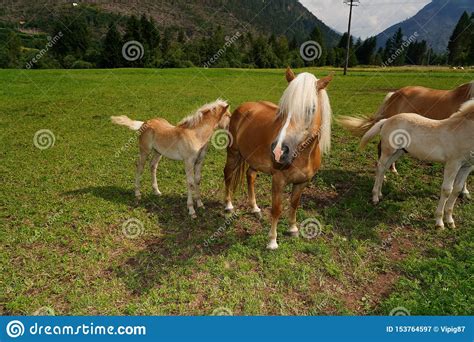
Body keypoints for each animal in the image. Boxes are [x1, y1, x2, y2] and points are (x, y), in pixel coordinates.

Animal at [223, 67, 332, 248]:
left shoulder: (302, 182)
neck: (303, 156)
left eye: (311, 109)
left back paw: (254, 208)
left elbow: (294, 204)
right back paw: (228, 206)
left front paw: (293, 229)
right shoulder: (278, 180)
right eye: (283, 110)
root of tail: (244, 107)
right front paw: (272, 241)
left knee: (250, 176)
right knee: (228, 175)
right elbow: (276, 209)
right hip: (233, 153)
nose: (279, 151)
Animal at [360, 100, 474, 230]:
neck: (463, 131)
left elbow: (457, 190)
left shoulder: (466, 166)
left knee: (384, 168)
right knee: (380, 167)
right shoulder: (453, 163)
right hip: (388, 150)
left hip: (398, 152)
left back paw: (379, 194)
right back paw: (375, 197)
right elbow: (447, 190)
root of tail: (387, 120)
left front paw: (450, 221)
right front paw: (439, 222)